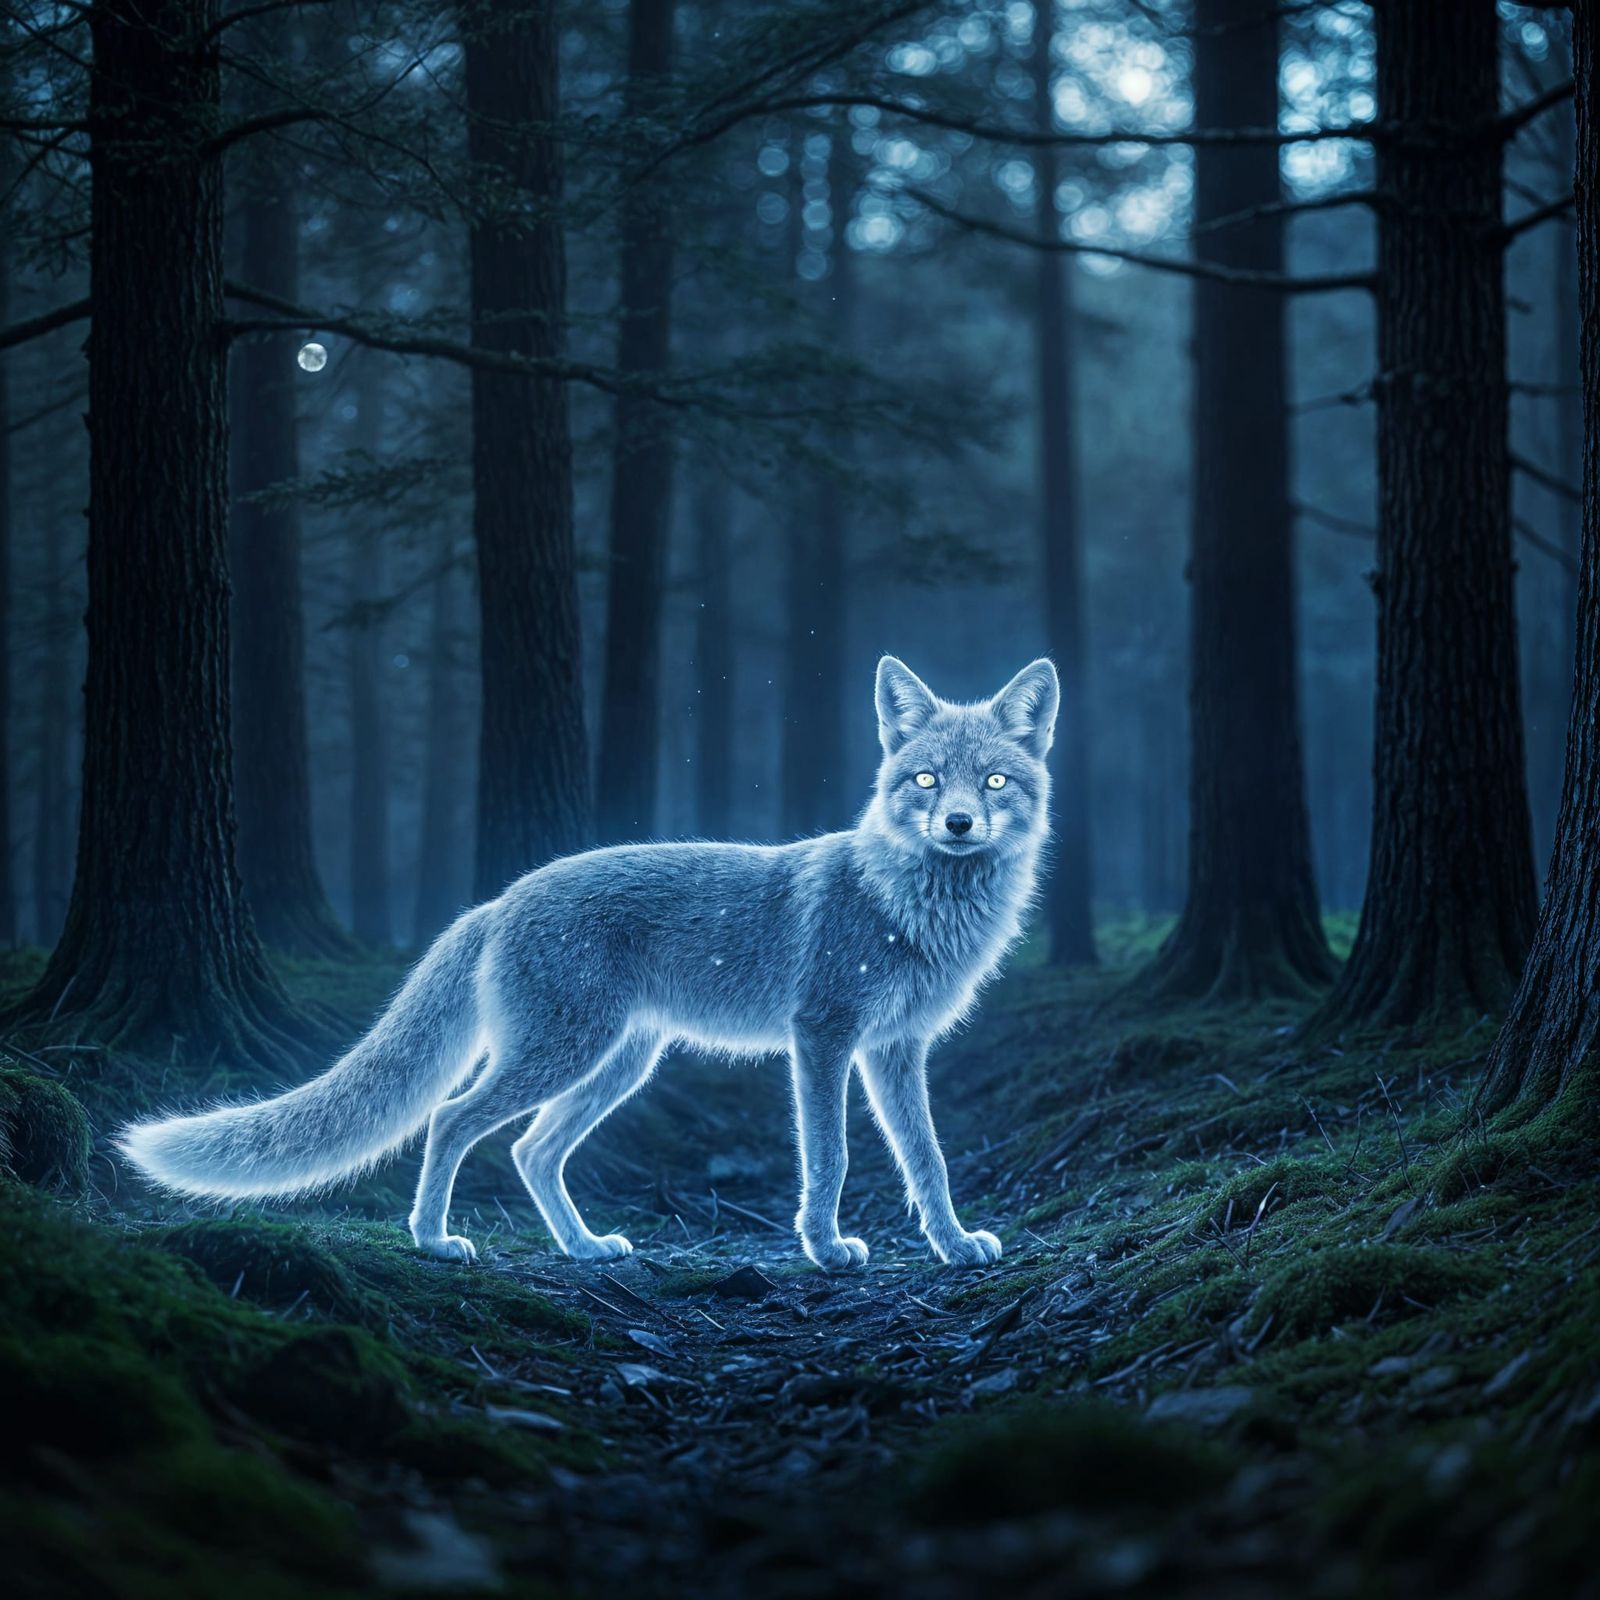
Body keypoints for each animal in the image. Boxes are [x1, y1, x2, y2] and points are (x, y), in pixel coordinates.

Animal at [119, 655, 1059, 1271]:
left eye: (995, 782)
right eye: (927, 779)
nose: (959, 825)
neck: (912, 910)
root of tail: (497, 901)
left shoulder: (896, 1050)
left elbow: (928, 1160)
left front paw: (953, 1246)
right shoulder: (823, 1040)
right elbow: (829, 1159)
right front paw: (825, 1250)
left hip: (617, 1064)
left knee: (532, 1151)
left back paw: (581, 1248)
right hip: (566, 1056)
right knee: (452, 1120)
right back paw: (433, 1240)